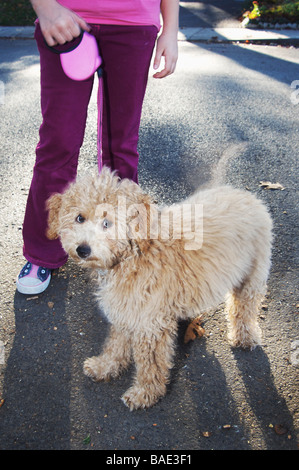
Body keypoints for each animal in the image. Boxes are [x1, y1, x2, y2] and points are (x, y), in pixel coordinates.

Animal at [47, 167, 274, 410]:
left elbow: (151, 363)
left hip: (253, 273)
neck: (133, 254)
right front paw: (106, 366)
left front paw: (145, 393)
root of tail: (247, 195)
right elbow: (116, 343)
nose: (83, 249)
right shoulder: (126, 310)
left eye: (107, 223)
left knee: (244, 307)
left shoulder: (150, 324)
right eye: (79, 218)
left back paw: (245, 336)